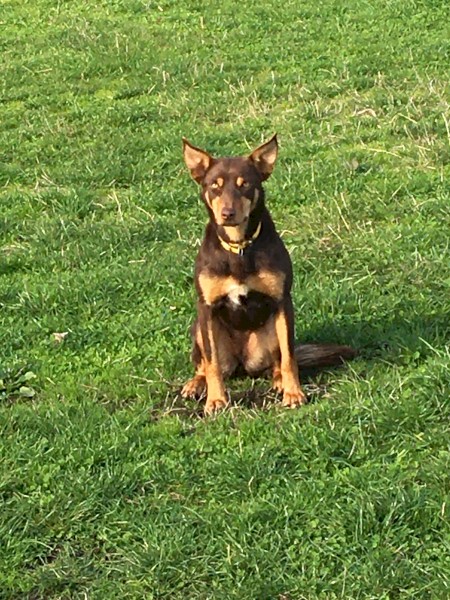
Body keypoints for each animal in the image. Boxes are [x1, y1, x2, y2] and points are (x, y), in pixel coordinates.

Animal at [179, 134, 356, 414]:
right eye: (214, 186)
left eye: (245, 185)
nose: (227, 214)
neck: (239, 248)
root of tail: (242, 363)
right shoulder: (206, 307)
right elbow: (212, 363)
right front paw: (216, 401)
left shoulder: (282, 302)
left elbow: (289, 357)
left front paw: (294, 393)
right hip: (199, 327)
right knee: (205, 364)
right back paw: (196, 383)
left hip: (272, 330)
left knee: (277, 361)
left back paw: (279, 381)